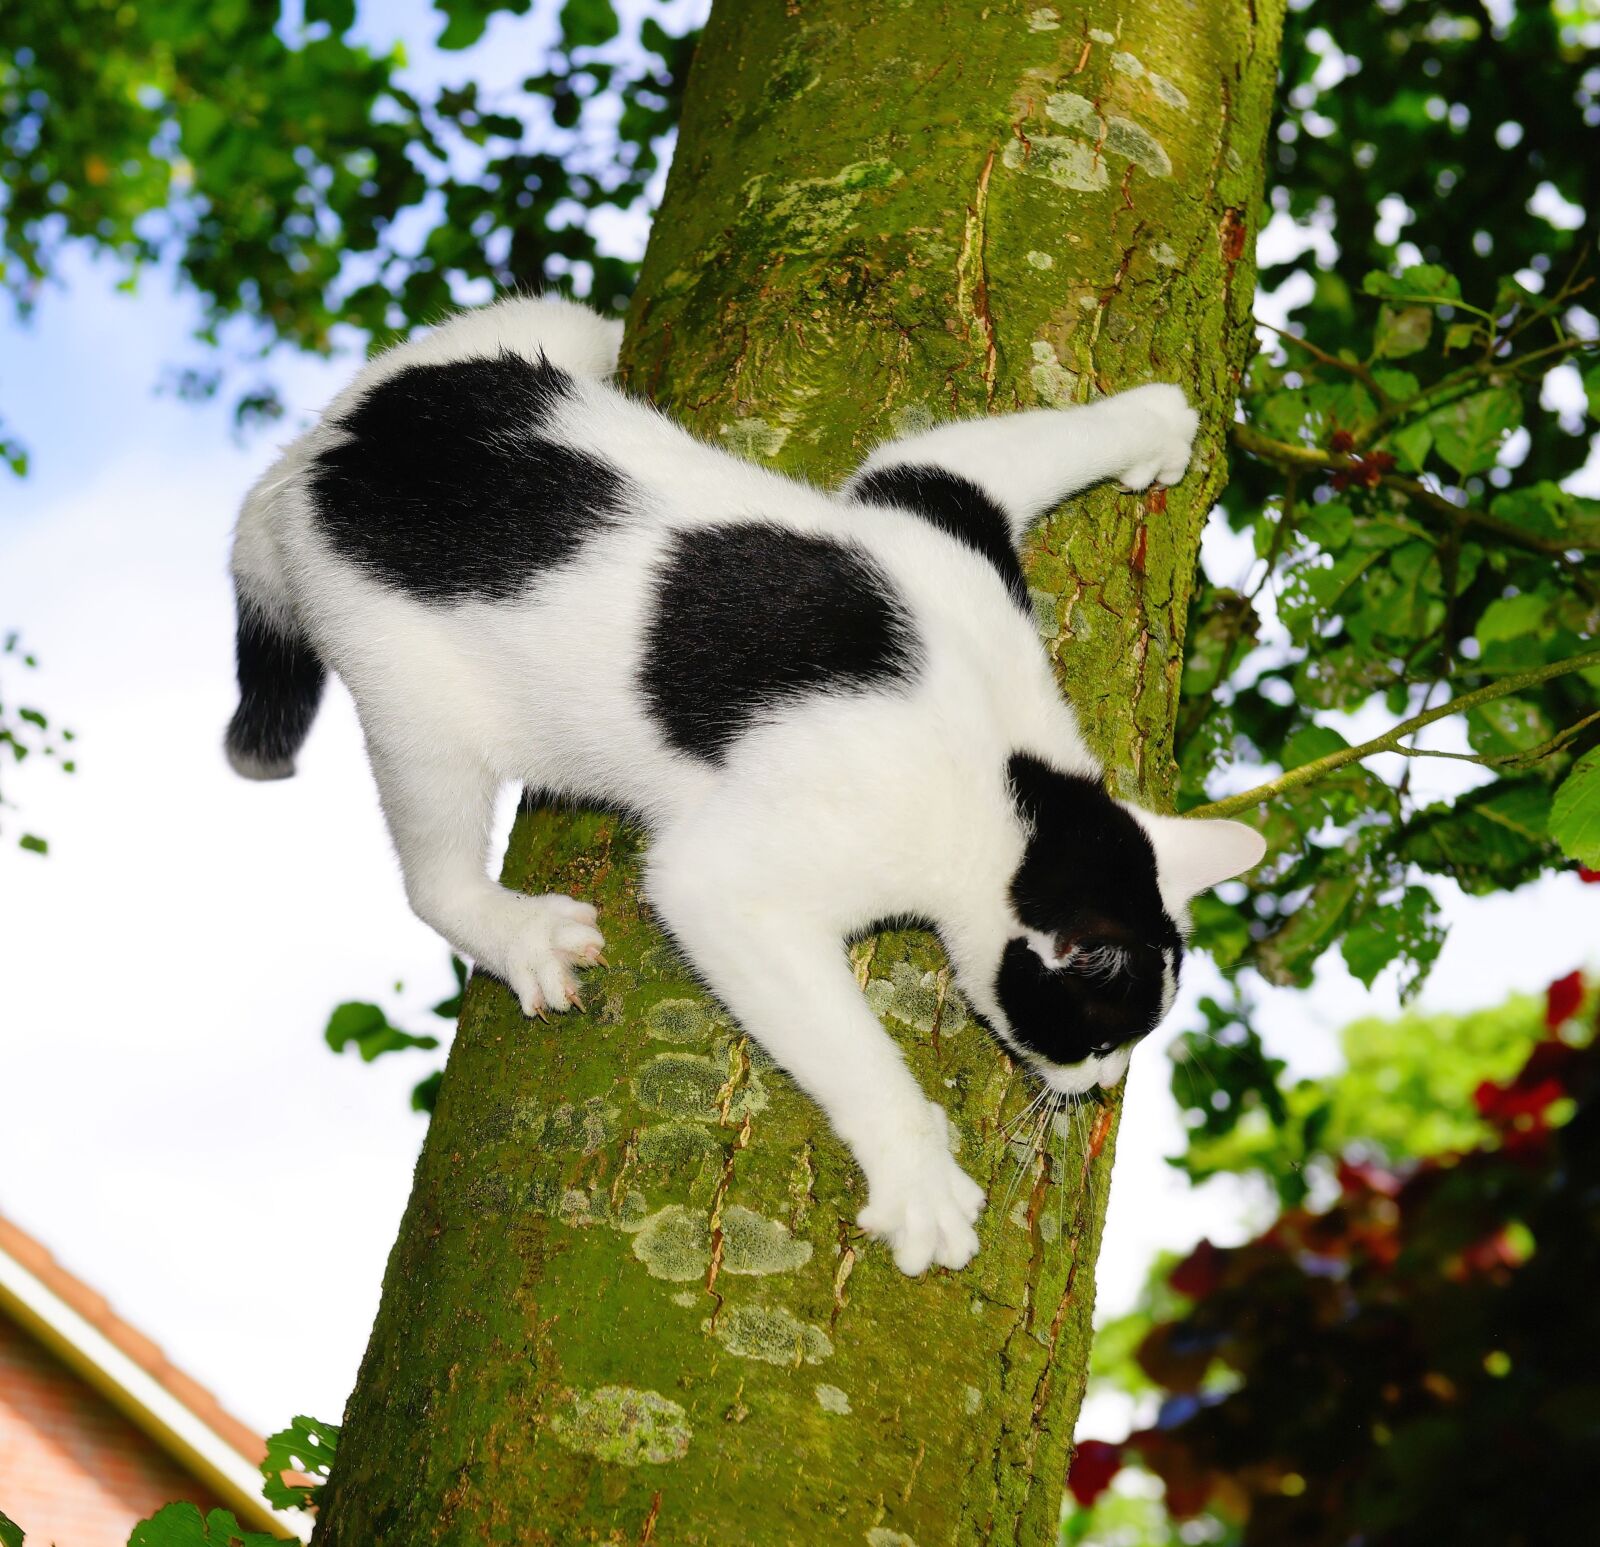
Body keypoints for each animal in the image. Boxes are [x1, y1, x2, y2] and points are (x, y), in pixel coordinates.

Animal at [225, 295, 1267, 1273]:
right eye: (1099, 1038)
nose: (1103, 1088)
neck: (1020, 785)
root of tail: (307, 467)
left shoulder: (928, 497)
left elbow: (1024, 441)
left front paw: (1154, 421)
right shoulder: (736, 876)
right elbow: (847, 1043)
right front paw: (919, 1176)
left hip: (517, 334)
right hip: (418, 707)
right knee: (430, 876)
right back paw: (519, 934)